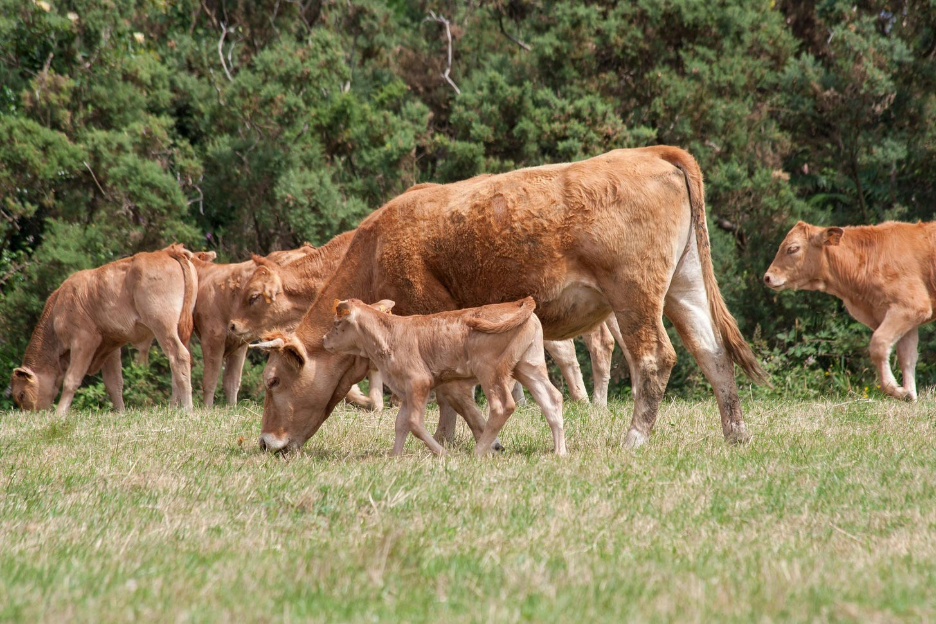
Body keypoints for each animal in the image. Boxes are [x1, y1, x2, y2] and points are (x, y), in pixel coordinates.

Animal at [11, 244, 197, 414]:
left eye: (21, 394)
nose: (31, 415)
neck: (58, 306)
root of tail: (168, 251)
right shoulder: (110, 345)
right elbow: (114, 383)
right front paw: (121, 412)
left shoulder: (84, 340)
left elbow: (71, 379)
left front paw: (60, 414)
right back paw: (174, 407)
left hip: (163, 326)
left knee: (179, 357)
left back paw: (187, 408)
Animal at [188, 245, 314, 407]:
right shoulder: (239, 342)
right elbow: (232, 381)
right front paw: (231, 407)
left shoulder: (213, 336)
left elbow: (210, 379)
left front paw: (207, 408)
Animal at [320, 297, 566, 456]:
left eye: (336, 323)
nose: (323, 340)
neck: (389, 334)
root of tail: (519, 302)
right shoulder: (406, 390)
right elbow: (401, 423)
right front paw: (395, 456)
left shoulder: (419, 381)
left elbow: (414, 423)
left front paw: (443, 454)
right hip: (529, 364)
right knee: (552, 399)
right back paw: (559, 452)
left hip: (490, 370)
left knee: (502, 406)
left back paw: (477, 452)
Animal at [764, 220, 936, 400]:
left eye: (793, 248)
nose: (767, 277)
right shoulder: (905, 318)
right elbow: (907, 358)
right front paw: (909, 395)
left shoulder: (911, 306)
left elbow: (879, 344)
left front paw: (895, 390)